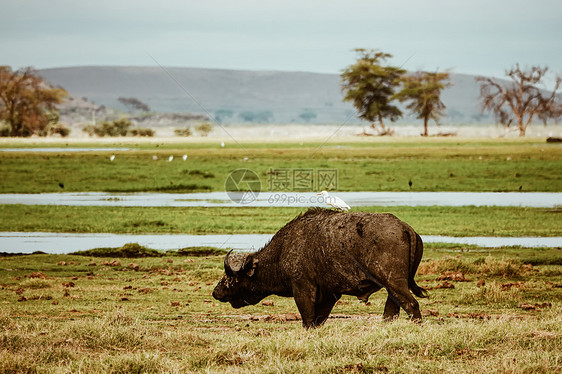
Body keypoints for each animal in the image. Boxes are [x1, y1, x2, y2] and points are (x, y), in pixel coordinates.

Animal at [210, 207, 424, 328]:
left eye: (230, 278)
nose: (215, 292)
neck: (282, 251)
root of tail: (406, 228)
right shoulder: (330, 294)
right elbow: (319, 319)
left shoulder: (302, 288)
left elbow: (307, 319)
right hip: (392, 289)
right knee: (391, 311)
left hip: (395, 283)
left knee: (412, 305)